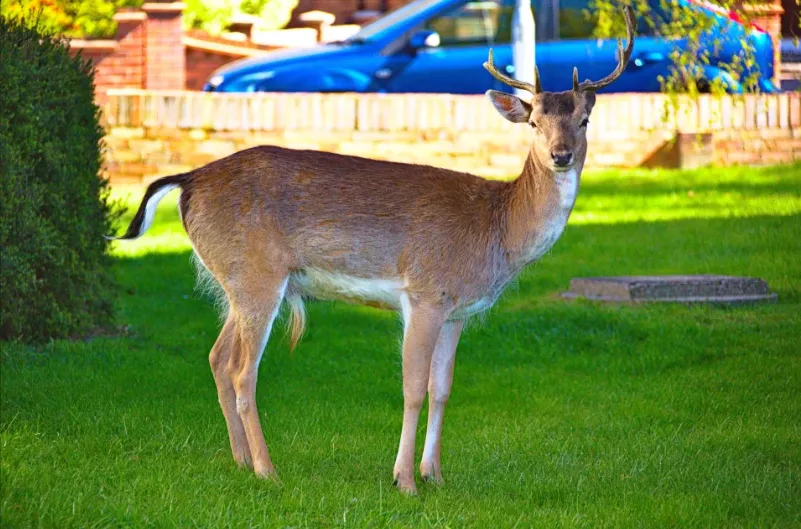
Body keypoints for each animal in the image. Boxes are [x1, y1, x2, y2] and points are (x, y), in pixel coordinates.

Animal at [111, 6, 635, 494]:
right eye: (533, 122)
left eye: (584, 119)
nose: (561, 155)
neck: (496, 230)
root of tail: (187, 181)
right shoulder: (424, 292)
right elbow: (413, 389)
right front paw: (404, 480)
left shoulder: (458, 312)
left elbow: (443, 389)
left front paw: (435, 474)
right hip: (258, 274)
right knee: (243, 370)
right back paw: (266, 469)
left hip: (234, 281)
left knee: (218, 358)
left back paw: (241, 462)